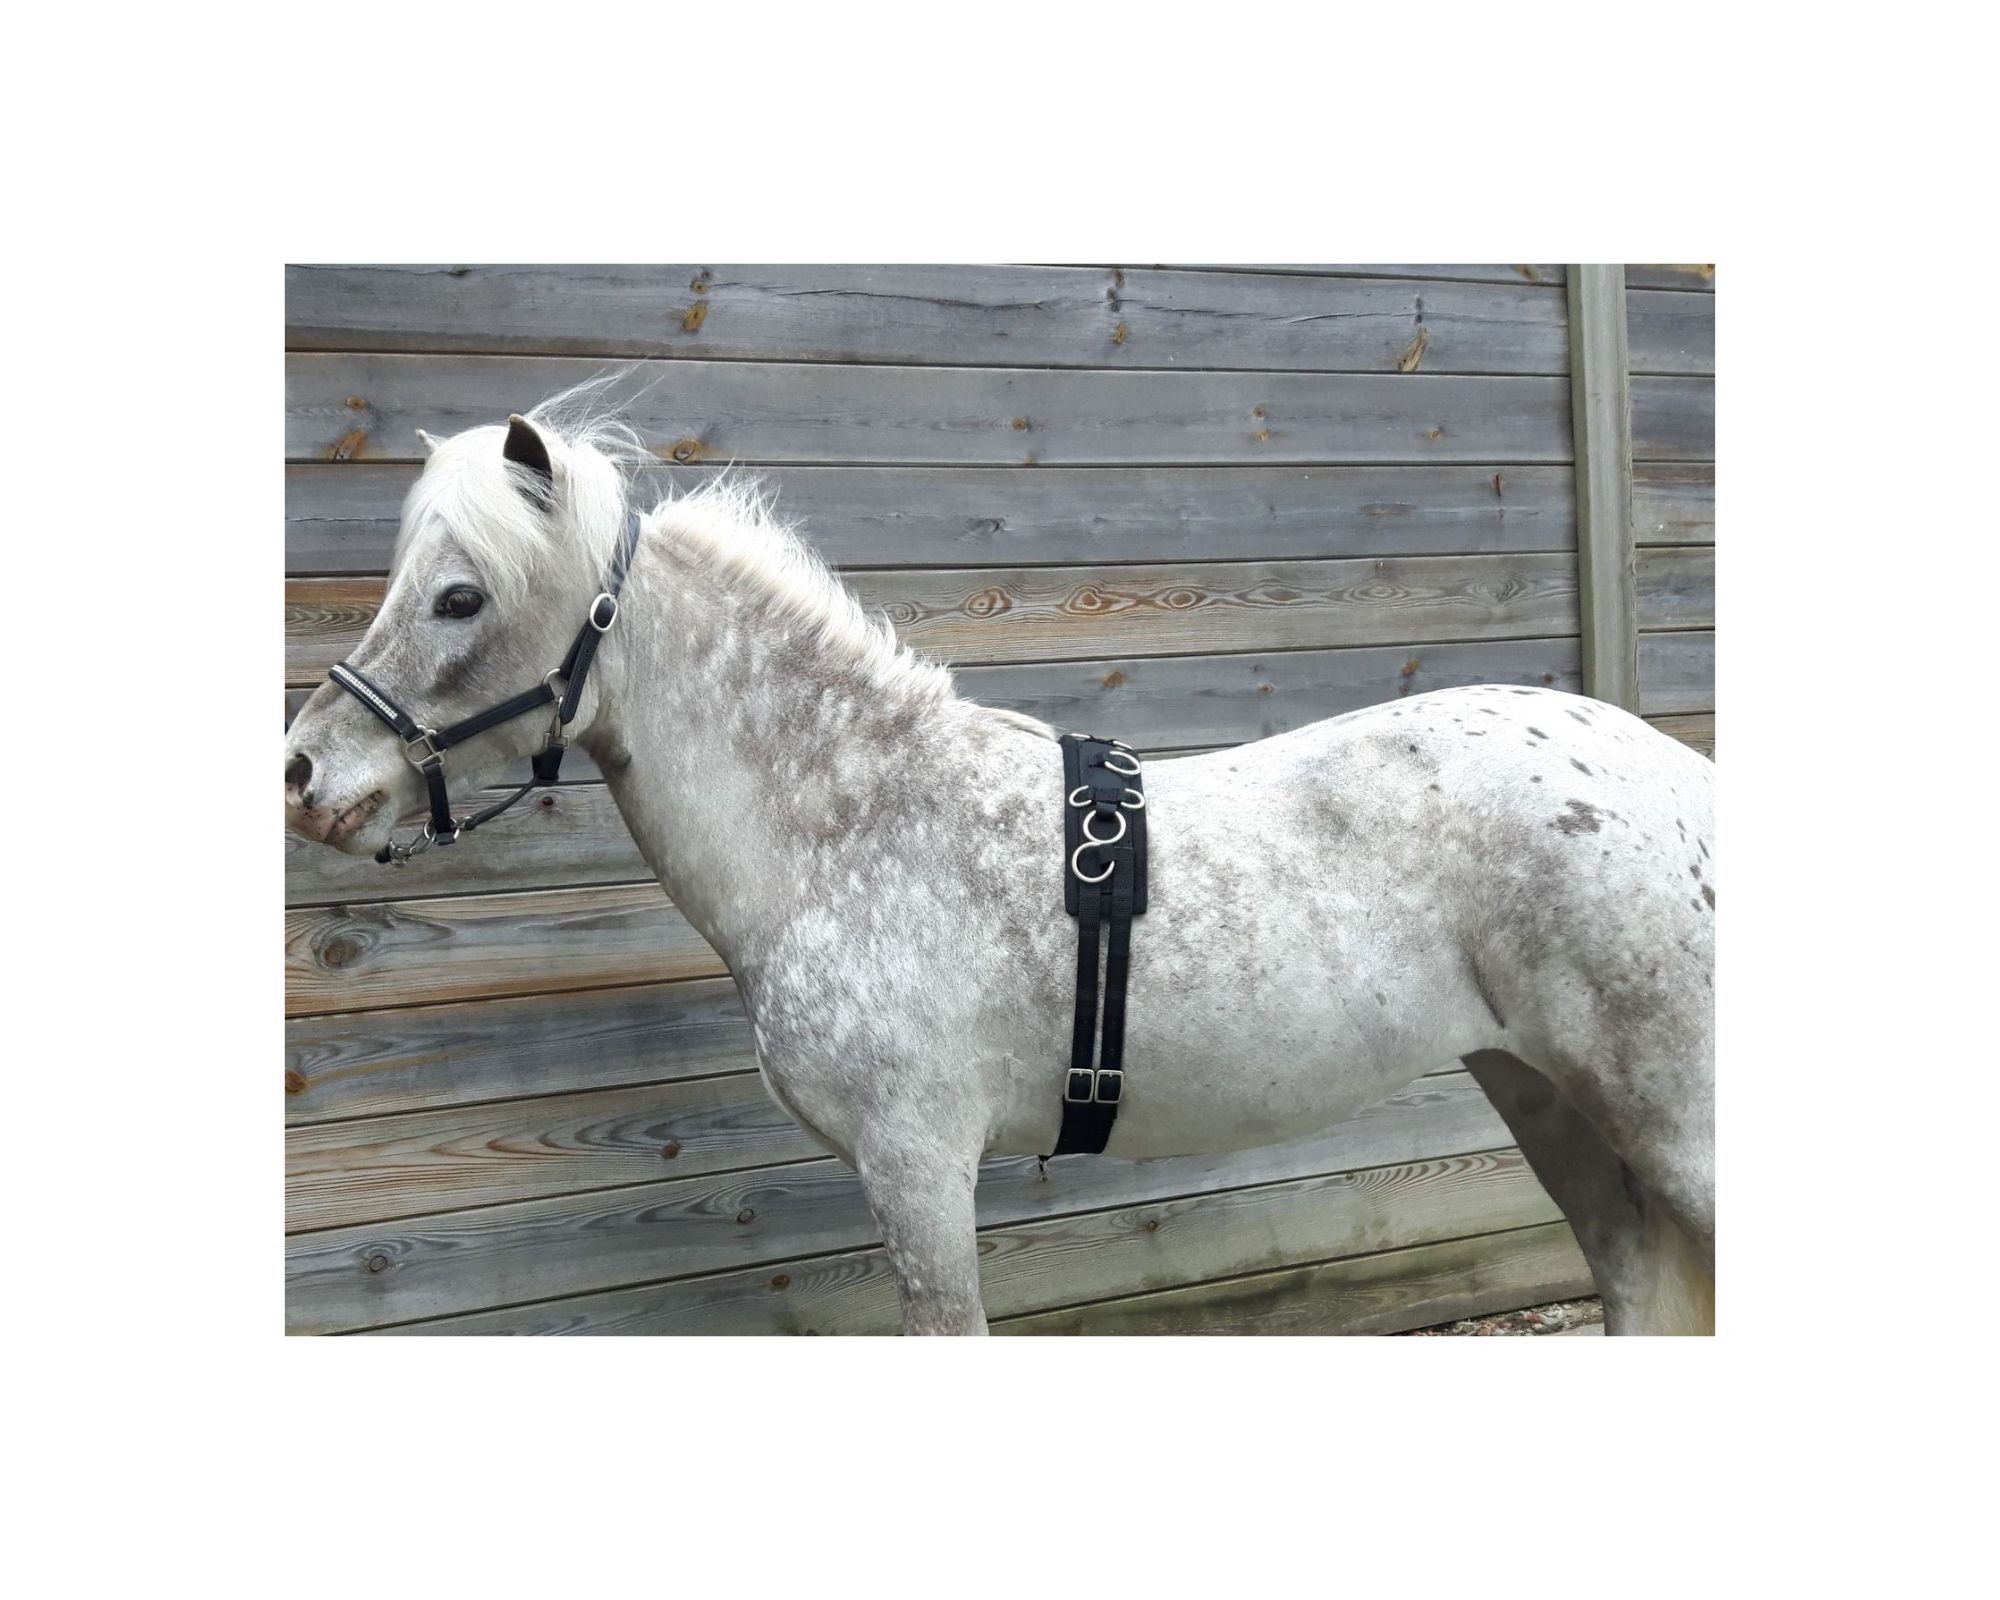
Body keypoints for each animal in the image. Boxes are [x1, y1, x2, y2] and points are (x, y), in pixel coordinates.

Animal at [283, 393, 1716, 1336]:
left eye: (459, 596)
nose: (303, 775)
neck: (854, 824)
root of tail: (1677, 781)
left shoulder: (917, 1167)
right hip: (1548, 1100)